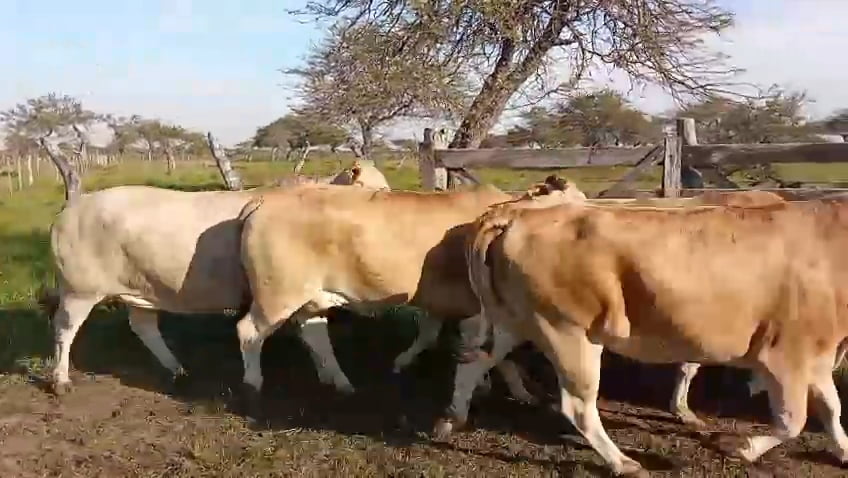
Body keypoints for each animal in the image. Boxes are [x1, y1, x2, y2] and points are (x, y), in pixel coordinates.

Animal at [42, 160, 390, 396]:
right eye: (373, 191)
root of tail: (75, 207)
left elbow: (318, 340)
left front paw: (335, 380)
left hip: (141, 289)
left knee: (143, 327)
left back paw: (177, 369)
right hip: (79, 290)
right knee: (64, 329)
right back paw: (60, 380)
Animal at [449, 198, 848, 476]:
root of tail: (518, 214)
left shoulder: (819, 355)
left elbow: (831, 407)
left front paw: (844, 449)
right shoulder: (785, 354)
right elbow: (793, 420)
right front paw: (742, 448)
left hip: (512, 321)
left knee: (474, 361)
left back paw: (451, 419)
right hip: (566, 331)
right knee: (577, 405)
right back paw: (623, 463)